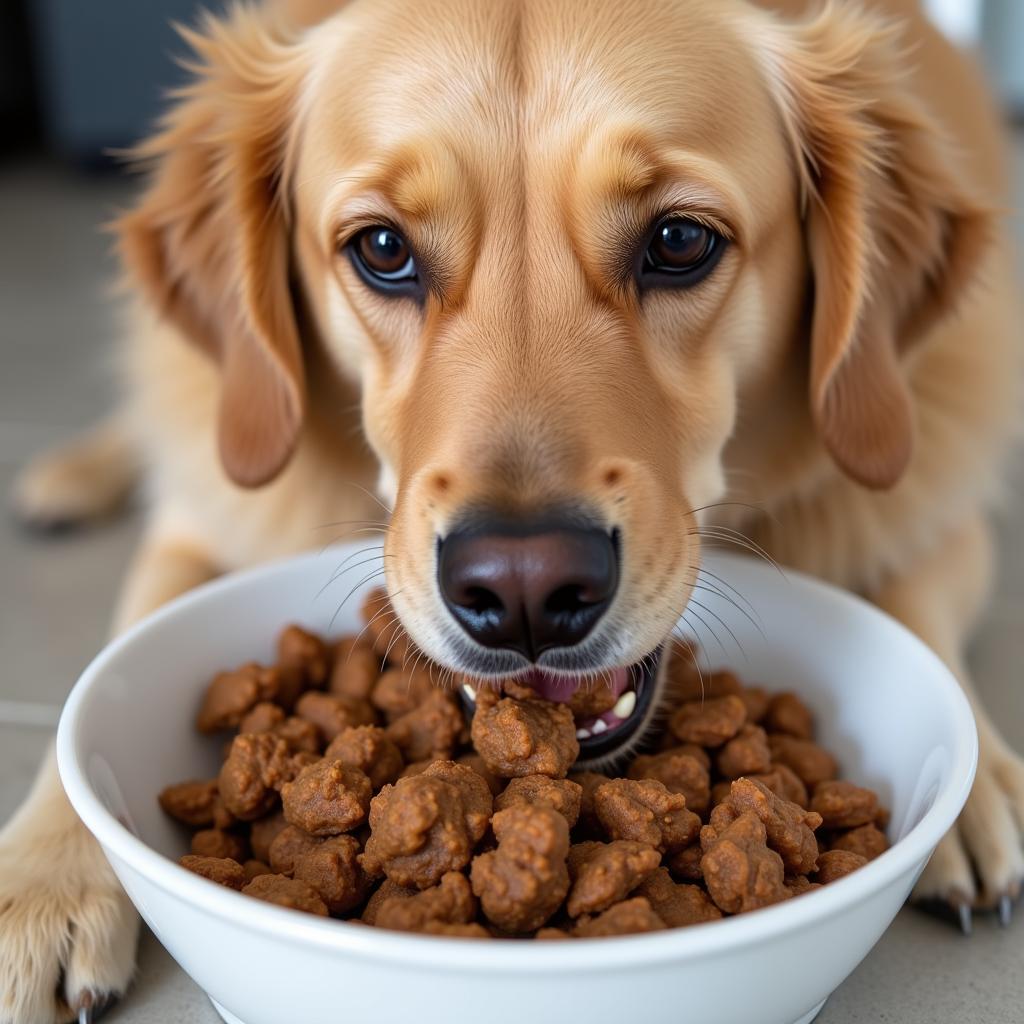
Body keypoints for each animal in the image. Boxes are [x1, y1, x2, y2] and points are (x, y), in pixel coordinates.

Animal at [2, 0, 1024, 1019]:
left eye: (680, 242)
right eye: (382, 250)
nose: (527, 590)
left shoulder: (932, 487)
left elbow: (916, 605)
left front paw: (979, 798)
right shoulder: (198, 521)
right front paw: (43, 884)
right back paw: (64, 476)